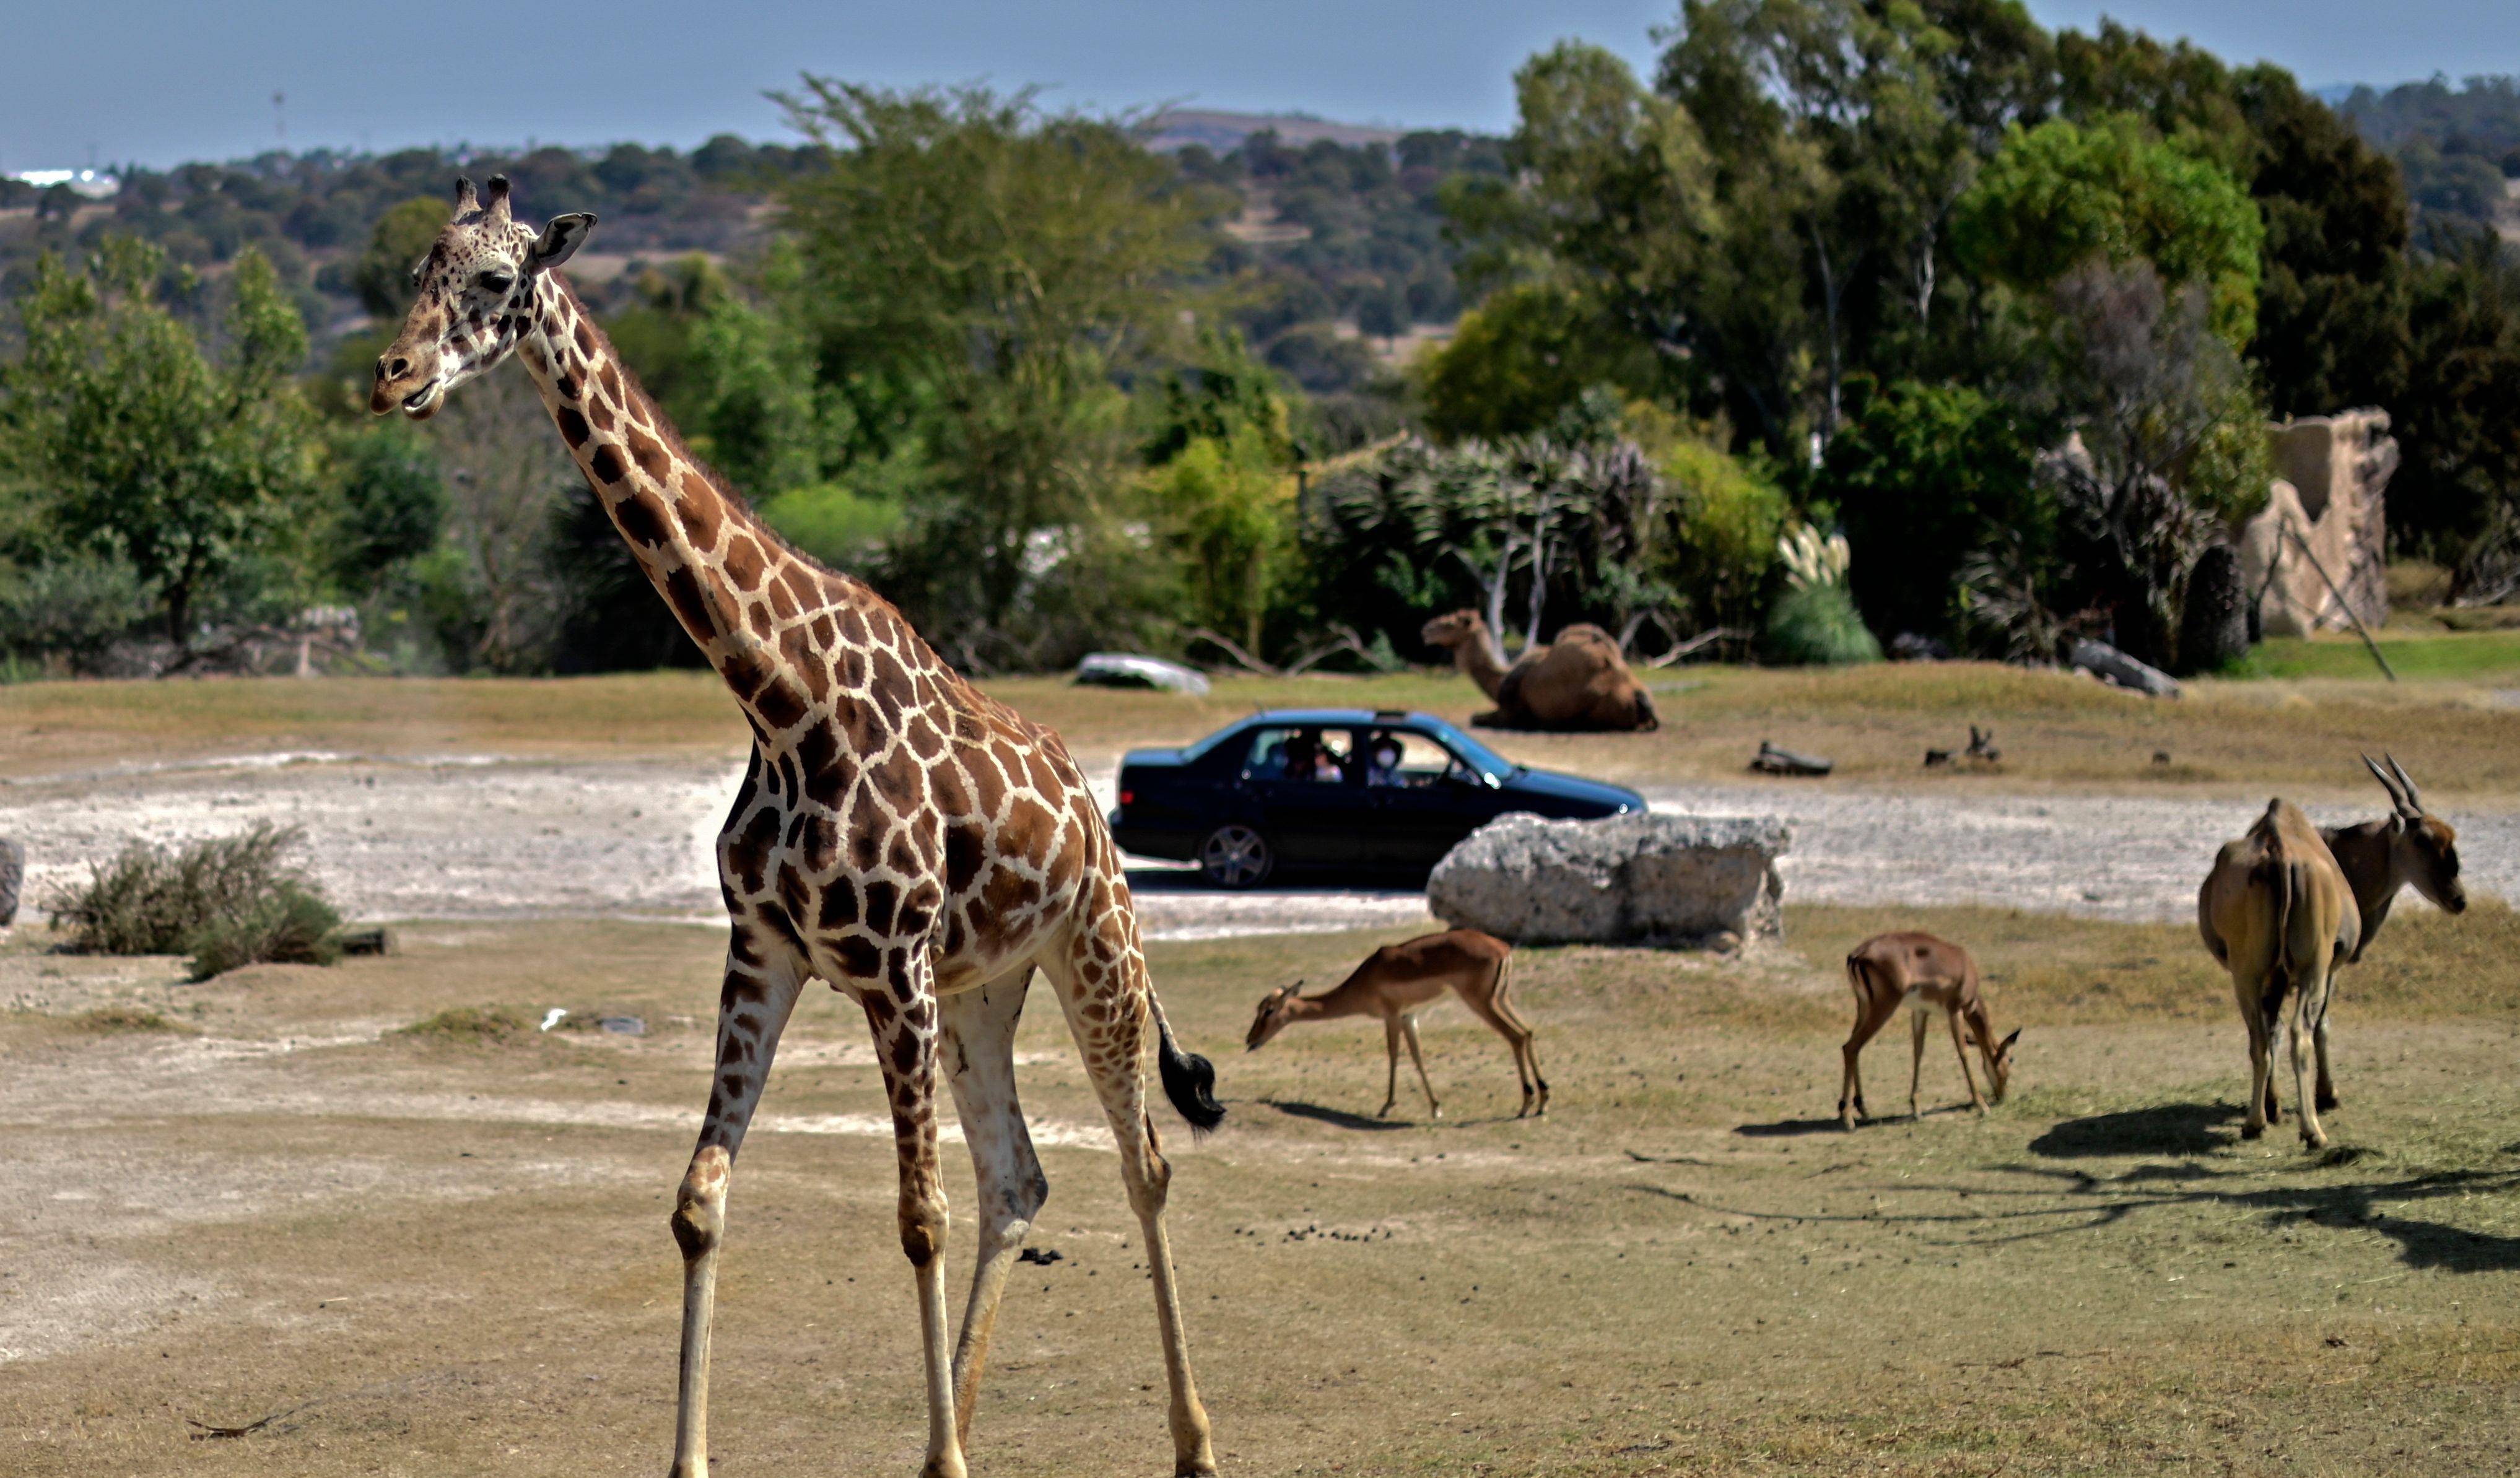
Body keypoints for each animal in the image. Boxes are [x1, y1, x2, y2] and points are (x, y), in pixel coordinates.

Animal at [373, 176, 1229, 1478]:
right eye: (420, 268)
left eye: (494, 281)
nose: (394, 372)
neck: (778, 694)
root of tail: (1090, 809)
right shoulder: (767, 951)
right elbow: (699, 1202)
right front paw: (698, 1459)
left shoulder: (889, 966)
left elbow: (917, 1218)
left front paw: (949, 1460)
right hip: (985, 986)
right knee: (1019, 1179)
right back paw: (950, 1429)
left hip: (1095, 955)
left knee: (1144, 1163)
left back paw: (1190, 1443)